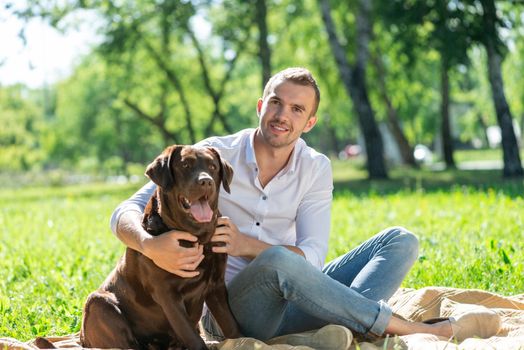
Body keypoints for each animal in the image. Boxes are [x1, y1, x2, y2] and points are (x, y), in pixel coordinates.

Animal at [79, 145, 242, 350]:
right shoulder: (167, 295)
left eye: (213, 167)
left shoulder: (216, 285)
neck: (198, 238)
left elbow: (231, 325)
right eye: (185, 165)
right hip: (99, 303)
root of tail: (82, 339)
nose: (206, 181)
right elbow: (192, 337)